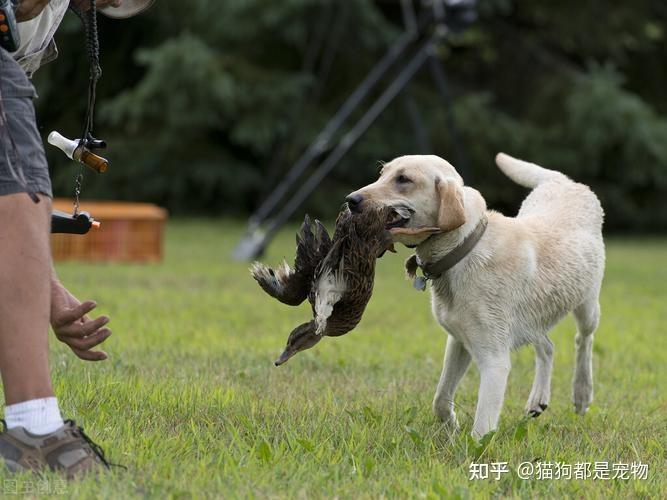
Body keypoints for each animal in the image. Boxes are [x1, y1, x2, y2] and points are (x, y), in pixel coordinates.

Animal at [350, 152, 604, 438]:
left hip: (586, 304)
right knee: (547, 346)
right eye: (382, 174)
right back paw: (538, 399)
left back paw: (582, 393)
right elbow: (440, 398)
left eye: (404, 179)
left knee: (583, 340)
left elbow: (482, 428)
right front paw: (451, 426)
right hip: (533, 317)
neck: (464, 248)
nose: (351, 201)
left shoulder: (494, 360)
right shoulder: (459, 341)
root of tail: (566, 182)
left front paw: (472, 445)